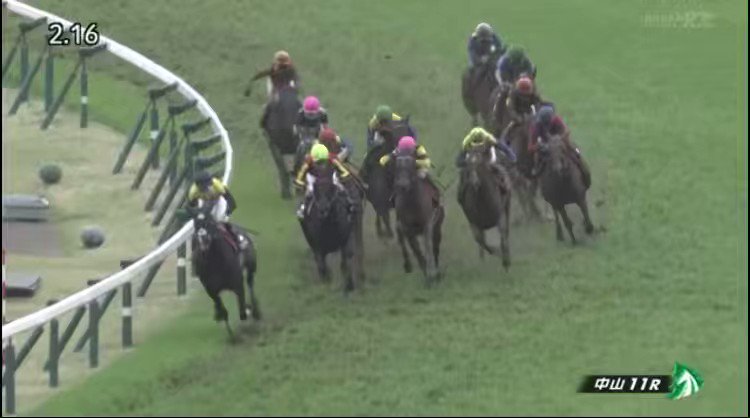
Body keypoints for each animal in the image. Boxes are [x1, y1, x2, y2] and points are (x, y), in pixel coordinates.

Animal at [188, 200, 261, 330]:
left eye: (210, 222)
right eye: (196, 225)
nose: (203, 239)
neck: (215, 262)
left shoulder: (238, 284)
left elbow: (243, 311)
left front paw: (249, 311)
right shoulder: (212, 291)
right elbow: (223, 312)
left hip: (251, 266)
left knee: (250, 284)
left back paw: (256, 312)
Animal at [299, 164, 364, 292]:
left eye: (331, 188)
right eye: (316, 190)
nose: (323, 209)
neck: (329, 227)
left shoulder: (346, 238)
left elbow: (345, 262)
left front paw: (349, 286)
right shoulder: (317, 246)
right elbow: (322, 266)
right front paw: (327, 283)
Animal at [392, 153, 444, 286]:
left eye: (411, 166)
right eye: (397, 167)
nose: (403, 185)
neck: (412, 203)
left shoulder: (428, 225)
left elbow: (428, 247)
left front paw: (432, 274)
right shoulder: (407, 229)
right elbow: (416, 251)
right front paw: (426, 275)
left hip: (437, 227)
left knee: (435, 247)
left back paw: (437, 272)